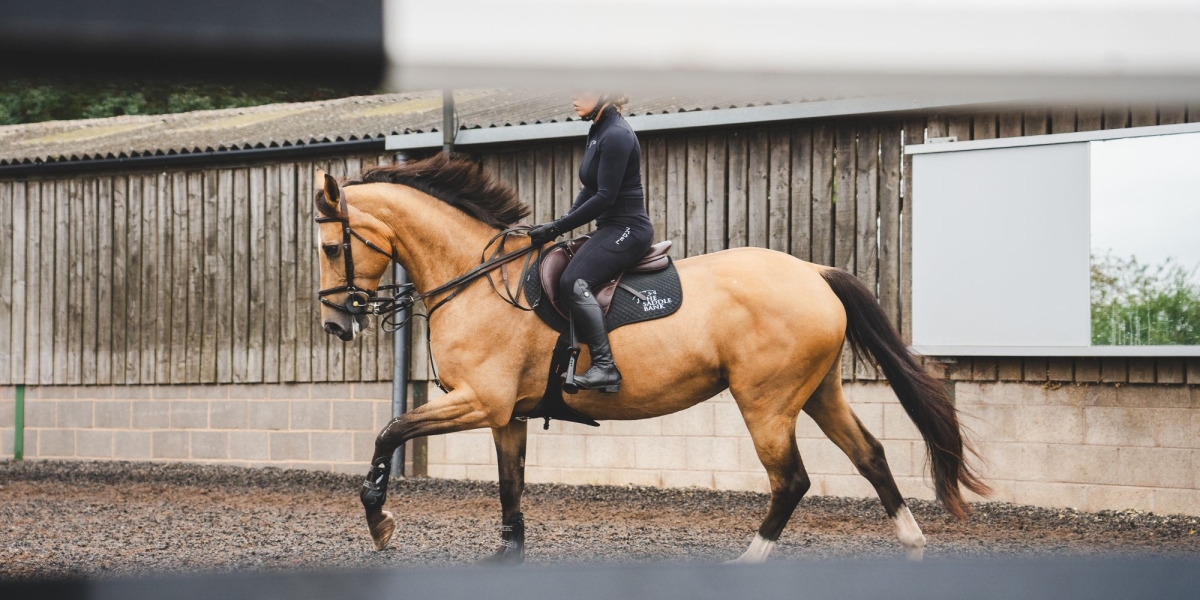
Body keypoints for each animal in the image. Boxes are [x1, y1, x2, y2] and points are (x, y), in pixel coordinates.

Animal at [313, 153, 988, 564]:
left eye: (330, 247)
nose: (335, 323)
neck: (478, 280)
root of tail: (814, 272)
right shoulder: (507, 414)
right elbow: (510, 488)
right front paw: (507, 555)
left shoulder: (479, 402)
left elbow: (389, 431)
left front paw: (380, 522)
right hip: (819, 391)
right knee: (870, 456)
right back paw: (912, 543)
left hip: (766, 402)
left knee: (791, 480)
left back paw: (750, 560)